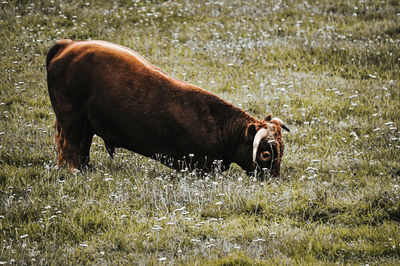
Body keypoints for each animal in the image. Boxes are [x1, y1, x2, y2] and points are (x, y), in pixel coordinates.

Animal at [46, 39, 290, 177]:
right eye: (266, 154)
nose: (273, 179)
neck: (218, 124)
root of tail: (67, 45)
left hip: (85, 123)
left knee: (81, 146)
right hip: (71, 118)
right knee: (71, 146)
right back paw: (76, 172)